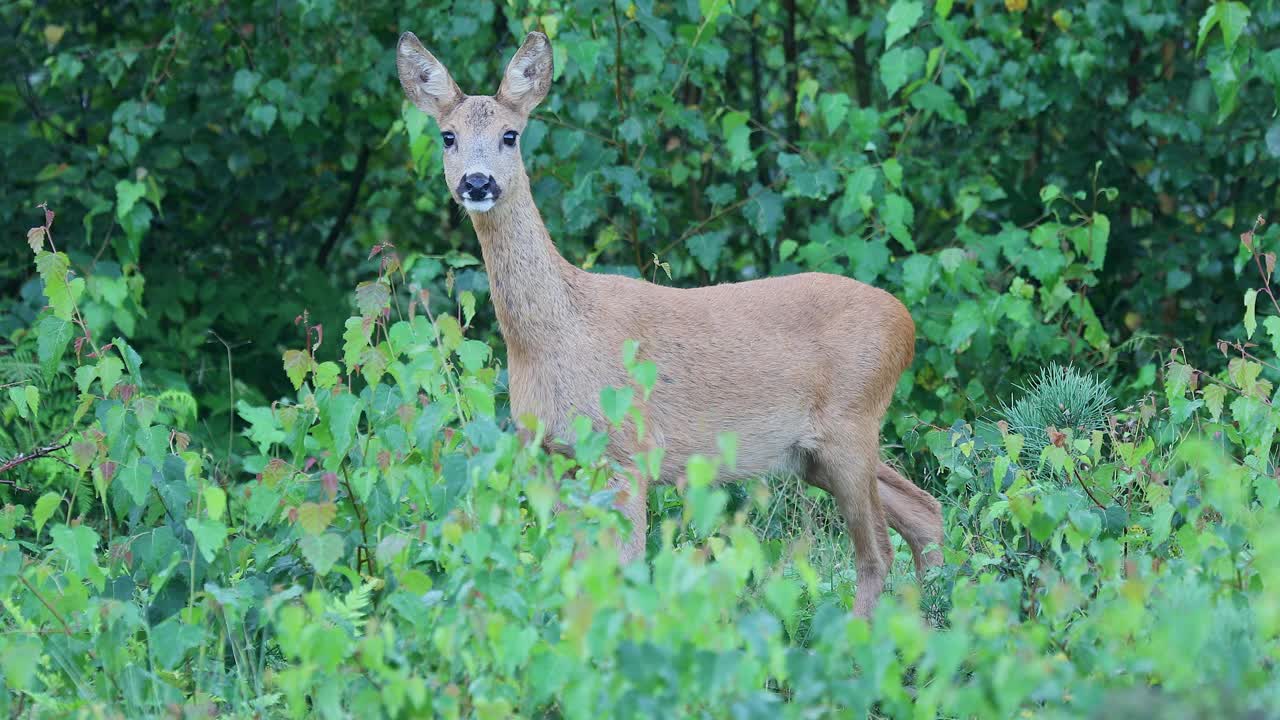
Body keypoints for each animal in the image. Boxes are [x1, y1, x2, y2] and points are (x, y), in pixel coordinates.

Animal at [394, 28, 947, 609]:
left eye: (510, 135)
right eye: (448, 136)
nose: (477, 183)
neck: (554, 336)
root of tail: (906, 323)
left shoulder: (627, 450)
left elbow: (623, 571)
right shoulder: (554, 455)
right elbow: (569, 573)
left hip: (850, 423)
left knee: (876, 550)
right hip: (813, 453)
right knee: (924, 512)